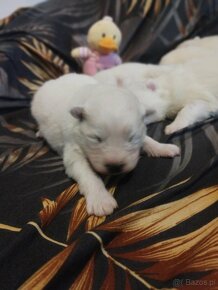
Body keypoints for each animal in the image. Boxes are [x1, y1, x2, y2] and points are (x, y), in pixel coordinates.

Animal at [31, 73, 180, 216]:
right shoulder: (73, 149)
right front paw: (101, 201)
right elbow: (87, 173)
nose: (115, 167)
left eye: (132, 138)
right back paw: (40, 132)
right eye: (96, 138)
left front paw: (163, 148)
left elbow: (147, 140)